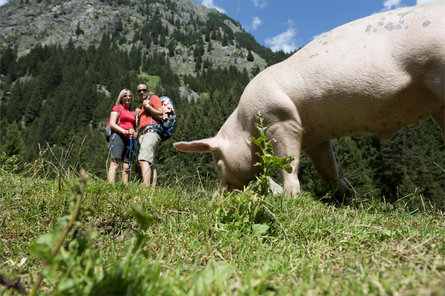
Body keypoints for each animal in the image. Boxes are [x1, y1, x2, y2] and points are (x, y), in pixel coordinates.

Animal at [174, 2, 444, 197]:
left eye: (217, 161)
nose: (217, 195)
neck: (245, 124)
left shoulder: (280, 119)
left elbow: (288, 162)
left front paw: (290, 197)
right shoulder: (316, 138)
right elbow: (328, 168)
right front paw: (345, 197)